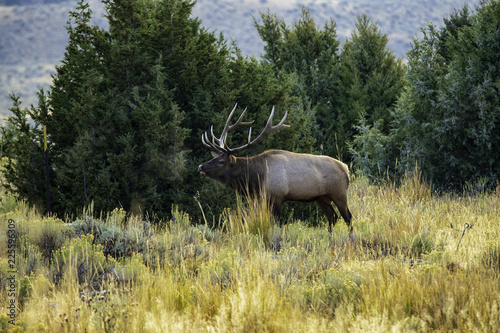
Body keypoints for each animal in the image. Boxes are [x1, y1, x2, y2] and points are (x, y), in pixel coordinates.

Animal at [197, 103, 354, 231]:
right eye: (213, 157)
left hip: (339, 192)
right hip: (322, 197)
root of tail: (346, 168)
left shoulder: (277, 196)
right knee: (333, 217)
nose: (200, 166)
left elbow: (276, 223)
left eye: (221, 161)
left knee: (348, 217)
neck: (257, 179)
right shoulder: (265, 199)